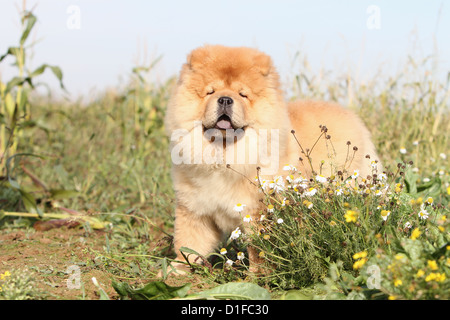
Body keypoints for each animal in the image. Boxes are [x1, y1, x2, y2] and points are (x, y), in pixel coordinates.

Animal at [163, 45, 378, 274]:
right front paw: (175, 271)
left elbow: (260, 249)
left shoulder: (260, 210)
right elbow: (188, 244)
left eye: (243, 94)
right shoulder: (195, 210)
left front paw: (257, 276)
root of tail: (354, 119)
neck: (223, 156)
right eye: (210, 92)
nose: (225, 99)